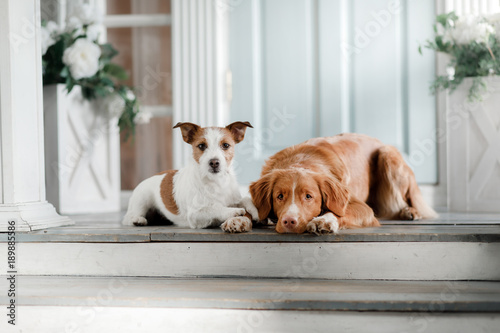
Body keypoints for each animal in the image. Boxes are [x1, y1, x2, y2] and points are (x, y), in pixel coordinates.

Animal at [122, 120, 258, 232]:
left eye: (225, 145)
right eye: (201, 145)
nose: (214, 162)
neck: (216, 182)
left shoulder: (234, 198)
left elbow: (245, 199)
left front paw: (255, 211)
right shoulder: (195, 215)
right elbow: (215, 208)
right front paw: (233, 211)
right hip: (142, 200)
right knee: (128, 217)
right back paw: (137, 220)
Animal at [250, 132, 438, 233]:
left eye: (308, 196)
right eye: (279, 196)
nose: (289, 221)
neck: (301, 160)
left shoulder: (363, 208)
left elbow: (339, 213)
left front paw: (324, 221)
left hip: (388, 155)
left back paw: (409, 211)